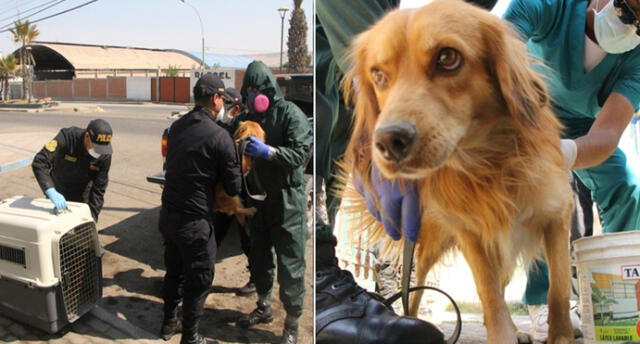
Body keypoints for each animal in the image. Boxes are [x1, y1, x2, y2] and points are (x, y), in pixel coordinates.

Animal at [342, 1, 576, 342]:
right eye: (378, 75)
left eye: (448, 57)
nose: (387, 141)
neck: (488, 165)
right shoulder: (473, 234)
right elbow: (491, 299)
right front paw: (502, 335)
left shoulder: (556, 218)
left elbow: (558, 293)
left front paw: (559, 334)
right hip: (431, 242)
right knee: (415, 286)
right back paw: (412, 321)